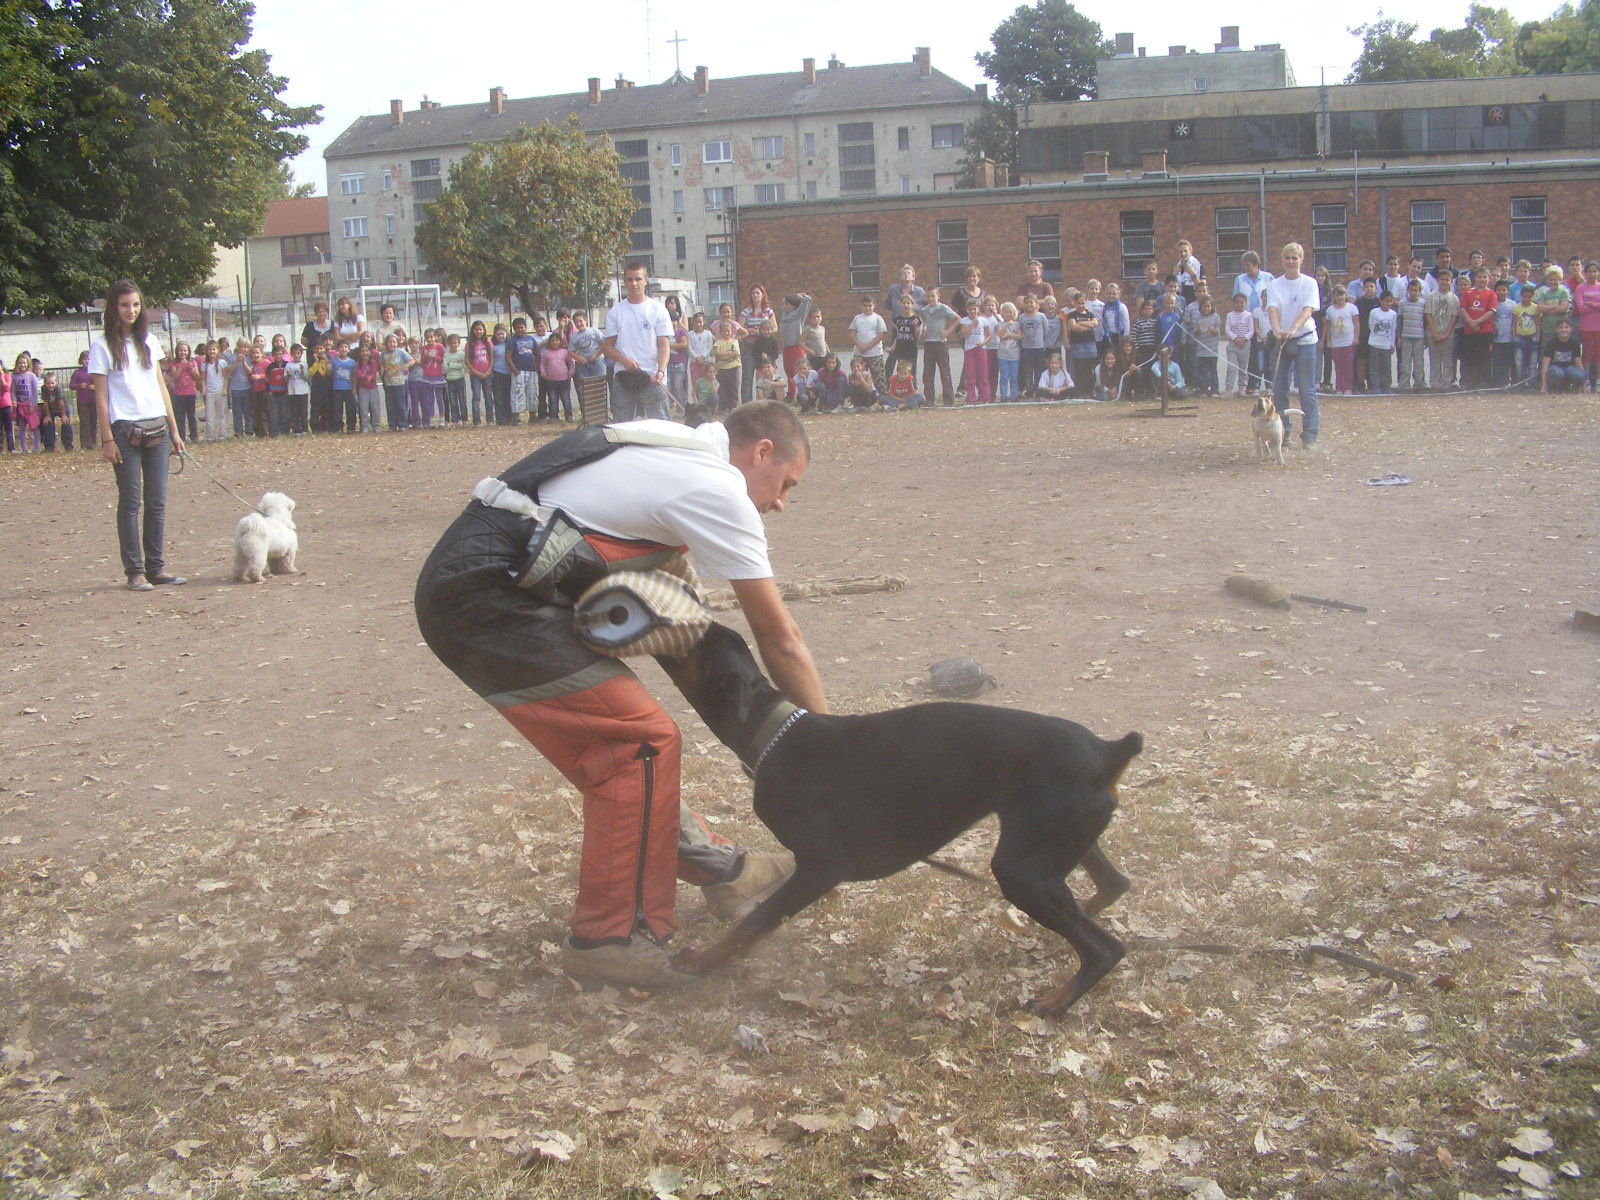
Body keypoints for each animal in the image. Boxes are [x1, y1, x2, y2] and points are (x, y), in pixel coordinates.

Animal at [656, 624, 1145, 1017]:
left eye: (696, 638)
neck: (772, 732)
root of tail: (1108, 751)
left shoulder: (822, 866)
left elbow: (753, 922)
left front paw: (702, 962)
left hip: (1023, 868)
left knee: (1106, 948)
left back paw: (1055, 1001)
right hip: (1053, 843)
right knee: (1111, 888)